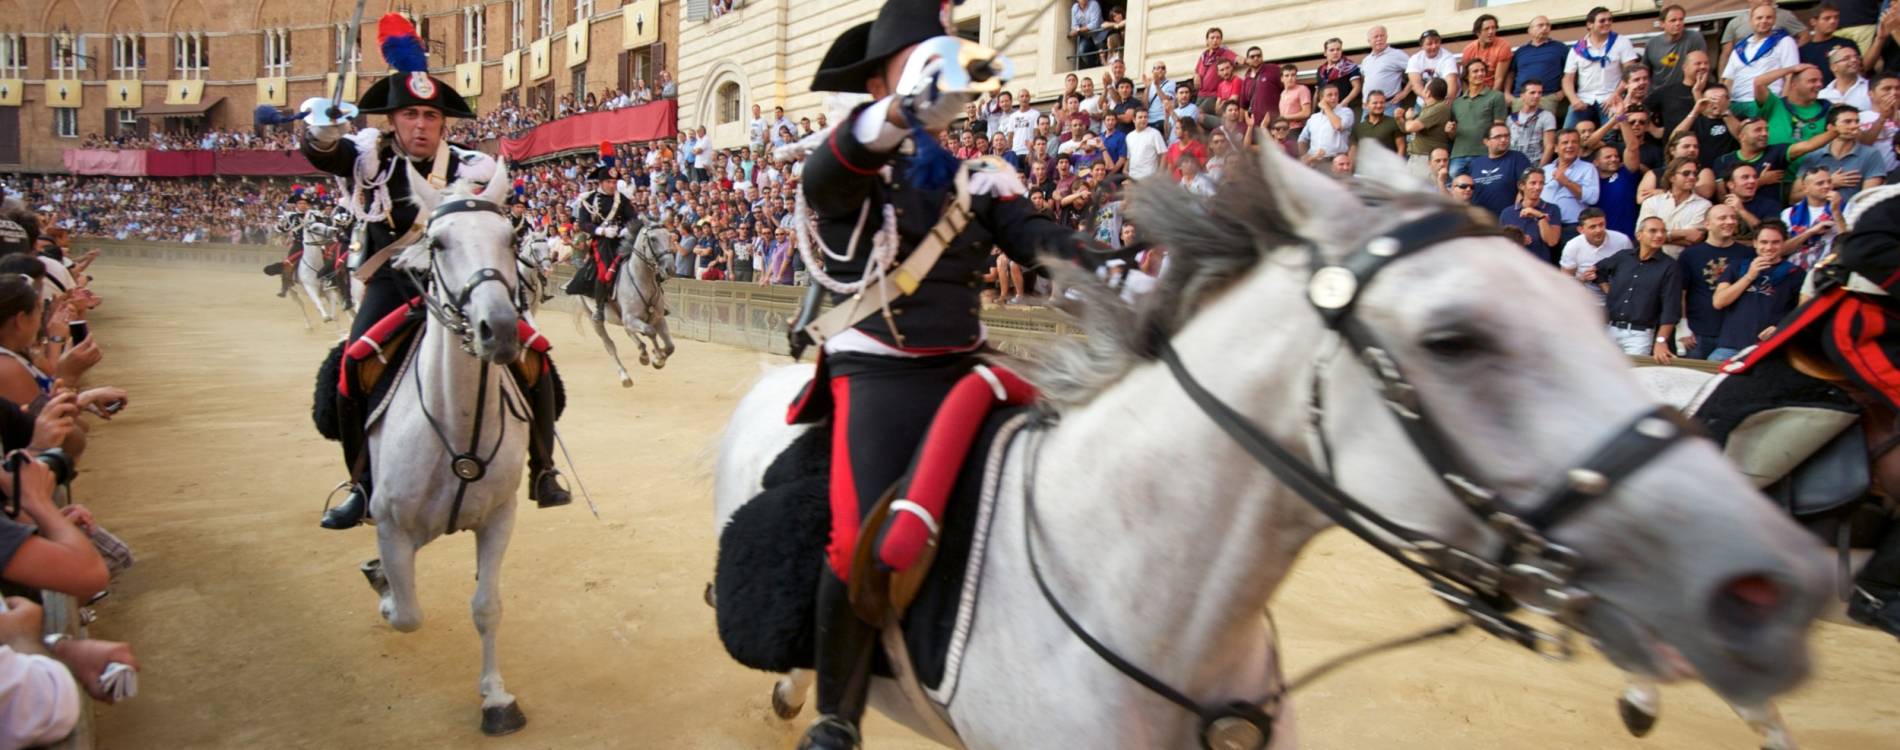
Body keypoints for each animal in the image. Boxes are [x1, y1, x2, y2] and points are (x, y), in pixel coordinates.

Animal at [359, 160, 535, 740]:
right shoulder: (390, 524)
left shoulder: (499, 517)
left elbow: (486, 606)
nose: (498, 329)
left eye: (511, 237)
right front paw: (386, 592)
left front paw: (497, 698)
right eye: (437, 242)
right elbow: (408, 613)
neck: (459, 428)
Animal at [581, 225, 680, 391]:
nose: (670, 268)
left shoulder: (658, 318)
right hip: (593, 319)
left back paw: (642, 351)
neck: (643, 281)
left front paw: (656, 358)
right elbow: (650, 332)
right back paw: (625, 377)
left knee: (629, 333)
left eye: (669, 236)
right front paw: (657, 357)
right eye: (653, 238)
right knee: (610, 345)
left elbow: (670, 346)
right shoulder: (631, 319)